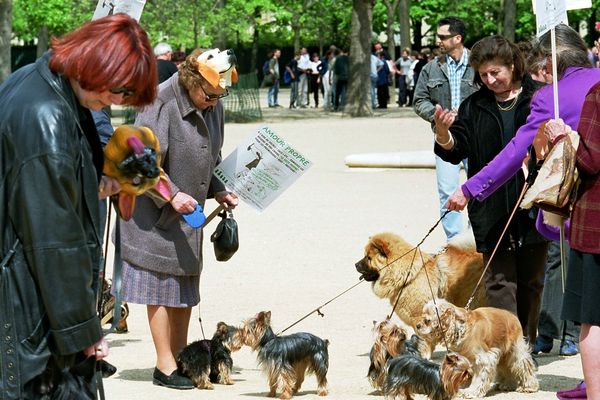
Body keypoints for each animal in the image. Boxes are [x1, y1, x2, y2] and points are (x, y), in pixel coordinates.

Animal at [354, 231, 486, 356]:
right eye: (365, 256)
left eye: (368, 258)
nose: (355, 264)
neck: (408, 274)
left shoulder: (420, 317)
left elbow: (423, 338)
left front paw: (422, 354)